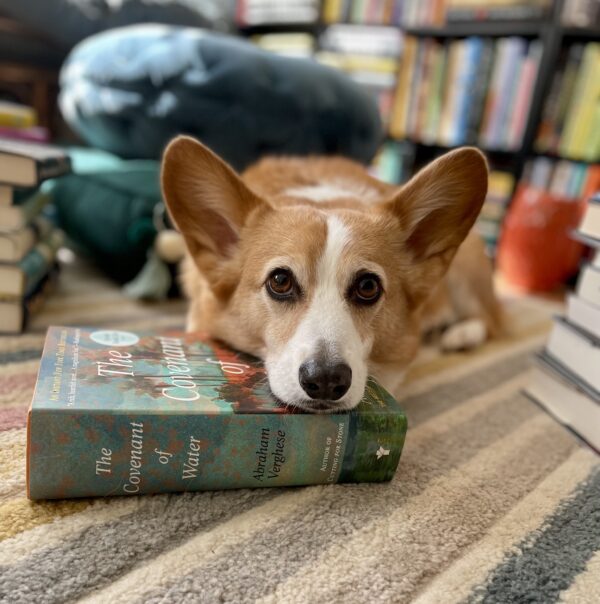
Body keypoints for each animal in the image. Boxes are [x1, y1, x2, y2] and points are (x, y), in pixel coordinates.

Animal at [161, 136, 502, 410]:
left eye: (368, 286)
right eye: (280, 281)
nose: (326, 380)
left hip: (466, 273)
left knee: (489, 318)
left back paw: (460, 334)